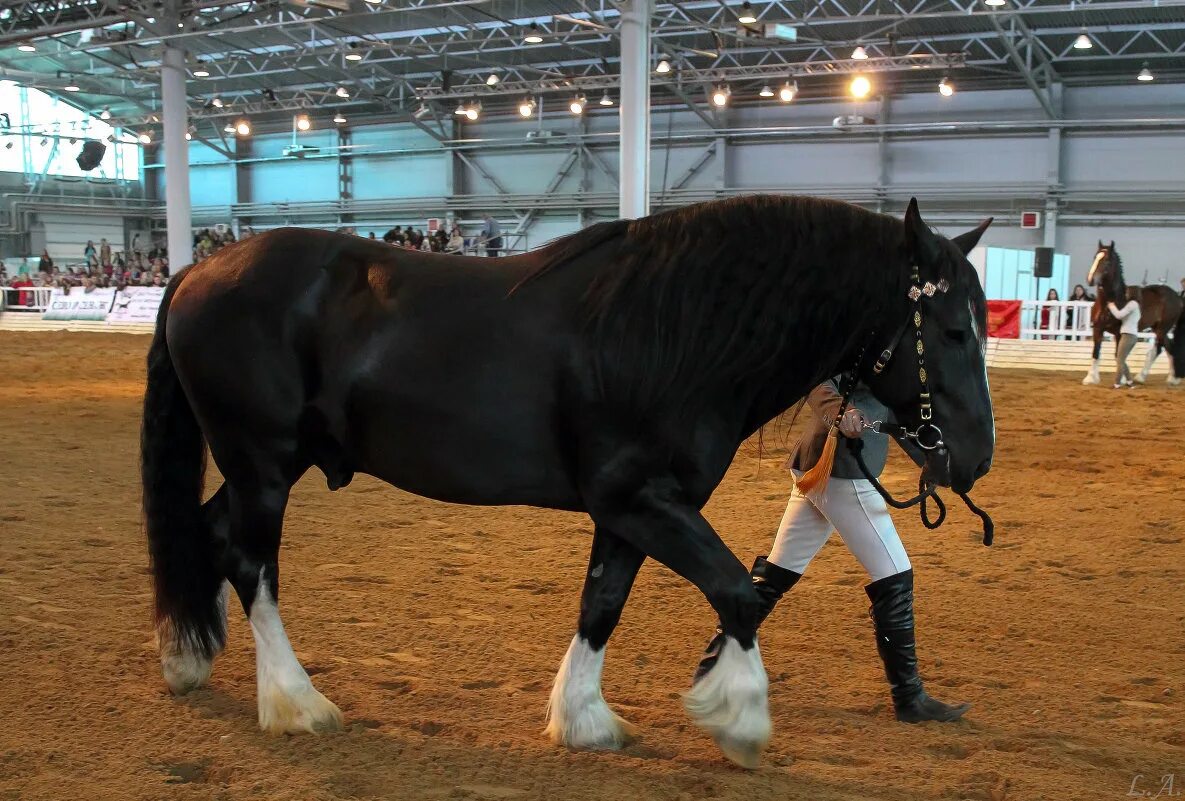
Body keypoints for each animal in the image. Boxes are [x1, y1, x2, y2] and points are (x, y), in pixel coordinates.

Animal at [138, 194, 995, 767]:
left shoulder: (628, 510)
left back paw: (189, 657)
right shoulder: (638, 497)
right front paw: (740, 720)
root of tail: (199, 267)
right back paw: (294, 701)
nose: (974, 456)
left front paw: (583, 719)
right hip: (262, 462)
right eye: (953, 329)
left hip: (271, 463)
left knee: (207, 532)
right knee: (252, 562)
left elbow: (602, 603)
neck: (668, 332)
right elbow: (736, 591)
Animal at [1085, 239, 1185, 386]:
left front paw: (1121, 379)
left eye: (1107, 261)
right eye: (1095, 258)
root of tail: (1177, 297)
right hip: (1158, 328)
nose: (1090, 279)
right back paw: (1172, 378)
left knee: (1159, 349)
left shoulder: (1118, 333)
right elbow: (1095, 353)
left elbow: (1118, 355)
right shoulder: (1097, 329)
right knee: (1170, 348)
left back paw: (1143, 377)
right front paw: (1090, 378)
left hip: (1163, 328)